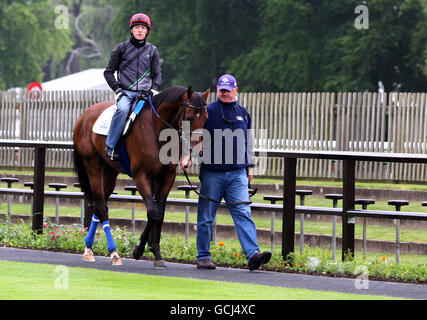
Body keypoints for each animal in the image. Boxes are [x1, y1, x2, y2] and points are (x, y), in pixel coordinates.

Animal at [74, 86, 211, 266]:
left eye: (206, 118)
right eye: (188, 117)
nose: (199, 150)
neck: (156, 130)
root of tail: (84, 116)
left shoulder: (167, 177)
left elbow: (159, 214)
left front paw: (155, 252)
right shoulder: (141, 177)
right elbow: (153, 212)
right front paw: (139, 250)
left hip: (110, 172)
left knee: (99, 205)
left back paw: (89, 248)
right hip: (93, 166)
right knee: (102, 208)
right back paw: (114, 253)